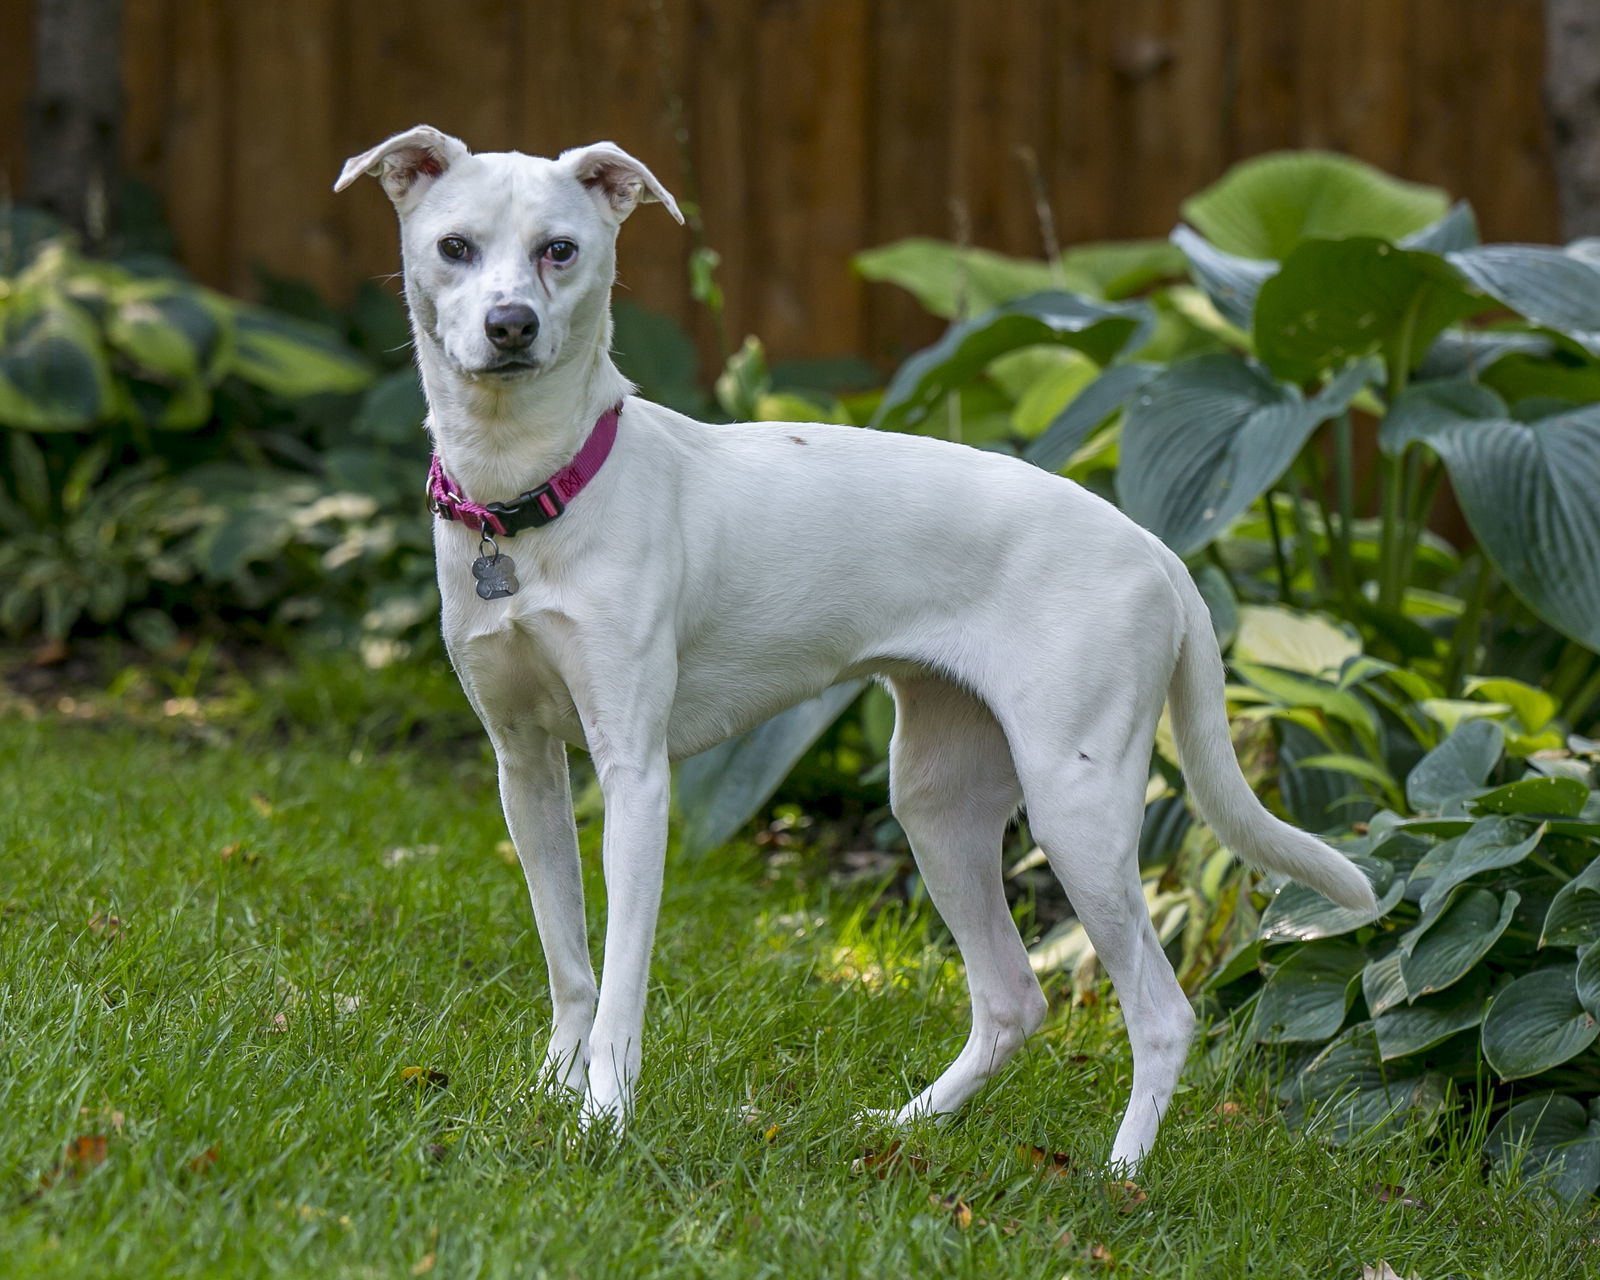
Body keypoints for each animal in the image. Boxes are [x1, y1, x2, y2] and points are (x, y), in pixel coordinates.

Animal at [334, 129, 1376, 1171]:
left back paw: (1119, 1175)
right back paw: (910, 1126)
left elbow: (622, 979)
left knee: (1162, 1012)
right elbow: (571, 966)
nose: (510, 327)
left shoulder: (634, 777)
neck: (533, 497)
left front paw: (603, 1119)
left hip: (1075, 810)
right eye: (455, 247)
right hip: (938, 805)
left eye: (561, 250)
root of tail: (1158, 547)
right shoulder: (526, 769)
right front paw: (550, 1094)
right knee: (1013, 998)